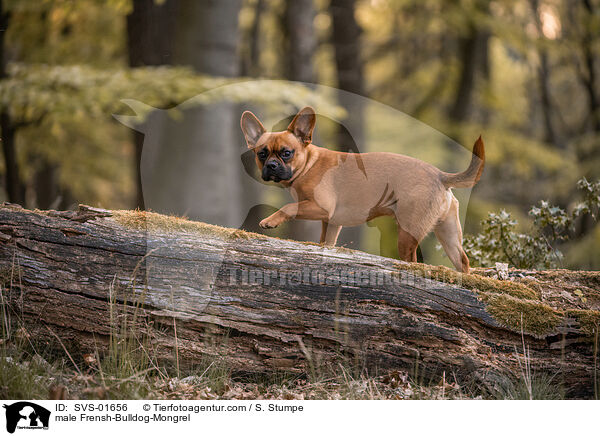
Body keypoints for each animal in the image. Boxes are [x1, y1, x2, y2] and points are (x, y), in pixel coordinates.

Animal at [239, 106, 482, 272]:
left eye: (286, 153)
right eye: (262, 154)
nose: (271, 165)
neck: (308, 164)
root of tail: (440, 176)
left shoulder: (321, 208)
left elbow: (289, 207)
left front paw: (270, 220)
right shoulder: (331, 222)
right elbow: (326, 241)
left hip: (408, 232)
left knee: (413, 262)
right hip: (448, 232)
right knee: (463, 262)